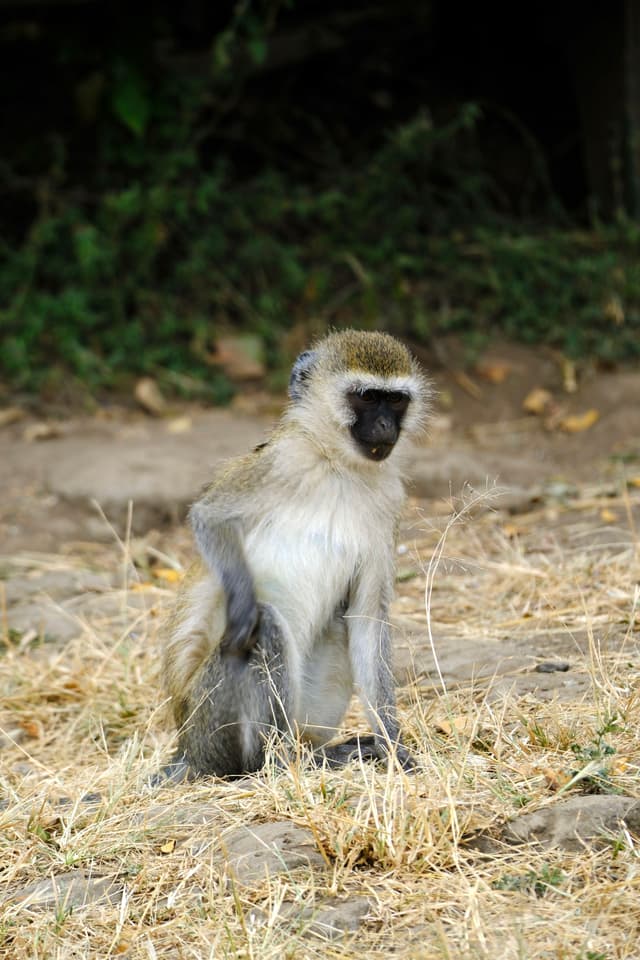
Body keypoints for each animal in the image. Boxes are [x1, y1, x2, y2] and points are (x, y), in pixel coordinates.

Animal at [159, 329, 431, 781]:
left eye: (395, 401)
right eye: (366, 397)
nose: (385, 426)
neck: (338, 466)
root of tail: (186, 749)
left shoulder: (390, 503)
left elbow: (366, 619)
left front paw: (392, 743)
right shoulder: (278, 461)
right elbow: (209, 517)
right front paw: (240, 608)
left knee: (337, 624)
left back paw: (322, 751)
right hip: (208, 724)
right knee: (265, 626)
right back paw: (279, 763)